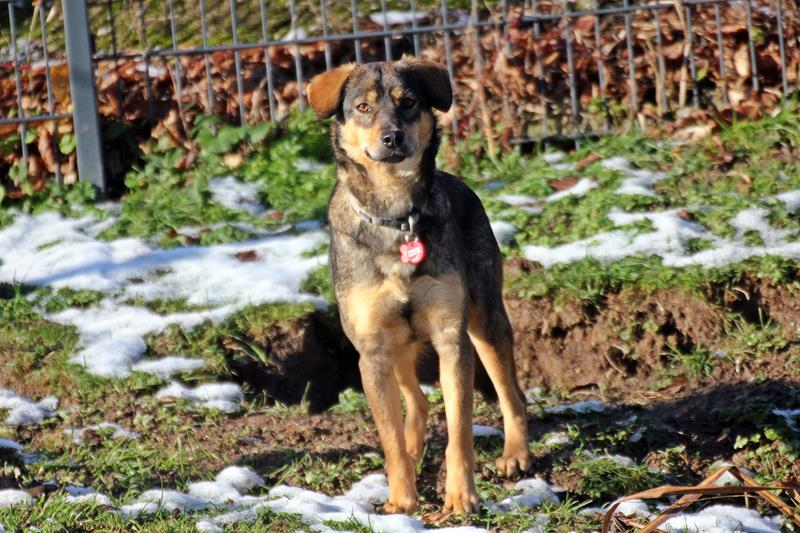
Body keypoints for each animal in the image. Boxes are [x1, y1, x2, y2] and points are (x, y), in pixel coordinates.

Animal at [307, 60, 530, 515]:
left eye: (408, 102)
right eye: (362, 107)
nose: (392, 137)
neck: (396, 218)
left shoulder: (452, 339)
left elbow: (459, 431)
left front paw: (461, 497)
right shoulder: (372, 351)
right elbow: (389, 438)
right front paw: (401, 501)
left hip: (486, 323)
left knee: (510, 394)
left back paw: (516, 455)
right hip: (398, 344)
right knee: (417, 399)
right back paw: (413, 449)